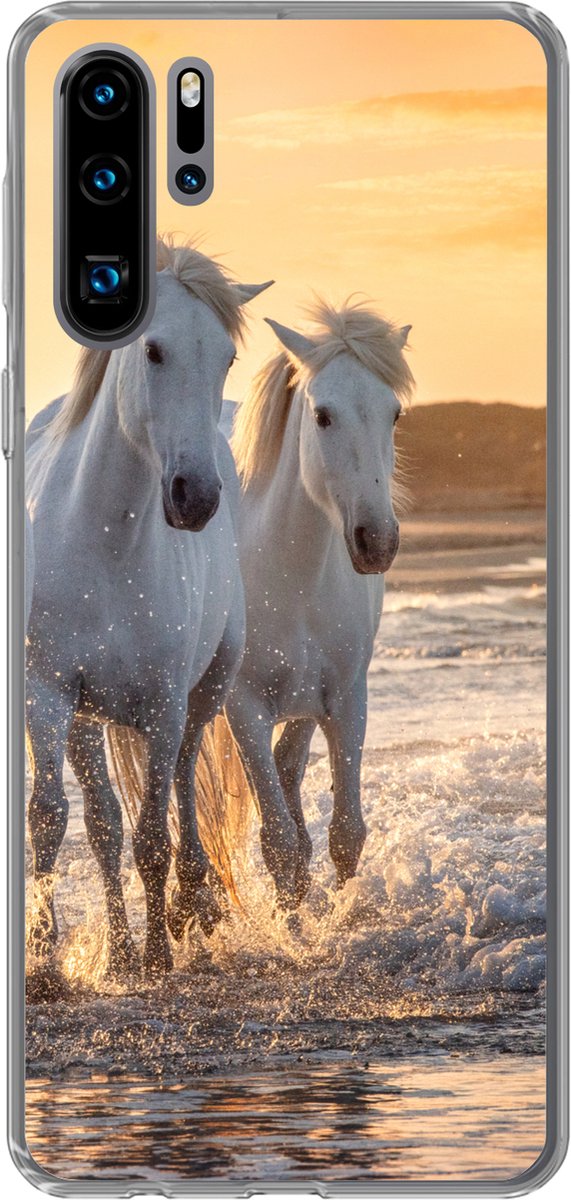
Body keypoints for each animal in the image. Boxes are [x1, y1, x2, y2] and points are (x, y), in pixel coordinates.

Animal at [25, 238, 272, 979]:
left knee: (184, 791)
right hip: (86, 718)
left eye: (225, 356)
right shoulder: (47, 693)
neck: (104, 540)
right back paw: (121, 950)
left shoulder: (162, 705)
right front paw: (44, 962)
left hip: (204, 691)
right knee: (104, 822)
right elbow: (52, 818)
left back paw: (188, 909)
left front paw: (162, 952)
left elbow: (154, 835)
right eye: (154, 350)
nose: (196, 496)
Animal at [218, 300, 414, 910]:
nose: (378, 542)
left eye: (394, 414)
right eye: (323, 416)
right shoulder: (244, 710)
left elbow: (347, 833)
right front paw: (296, 926)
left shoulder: (346, 698)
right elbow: (278, 845)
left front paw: (341, 919)